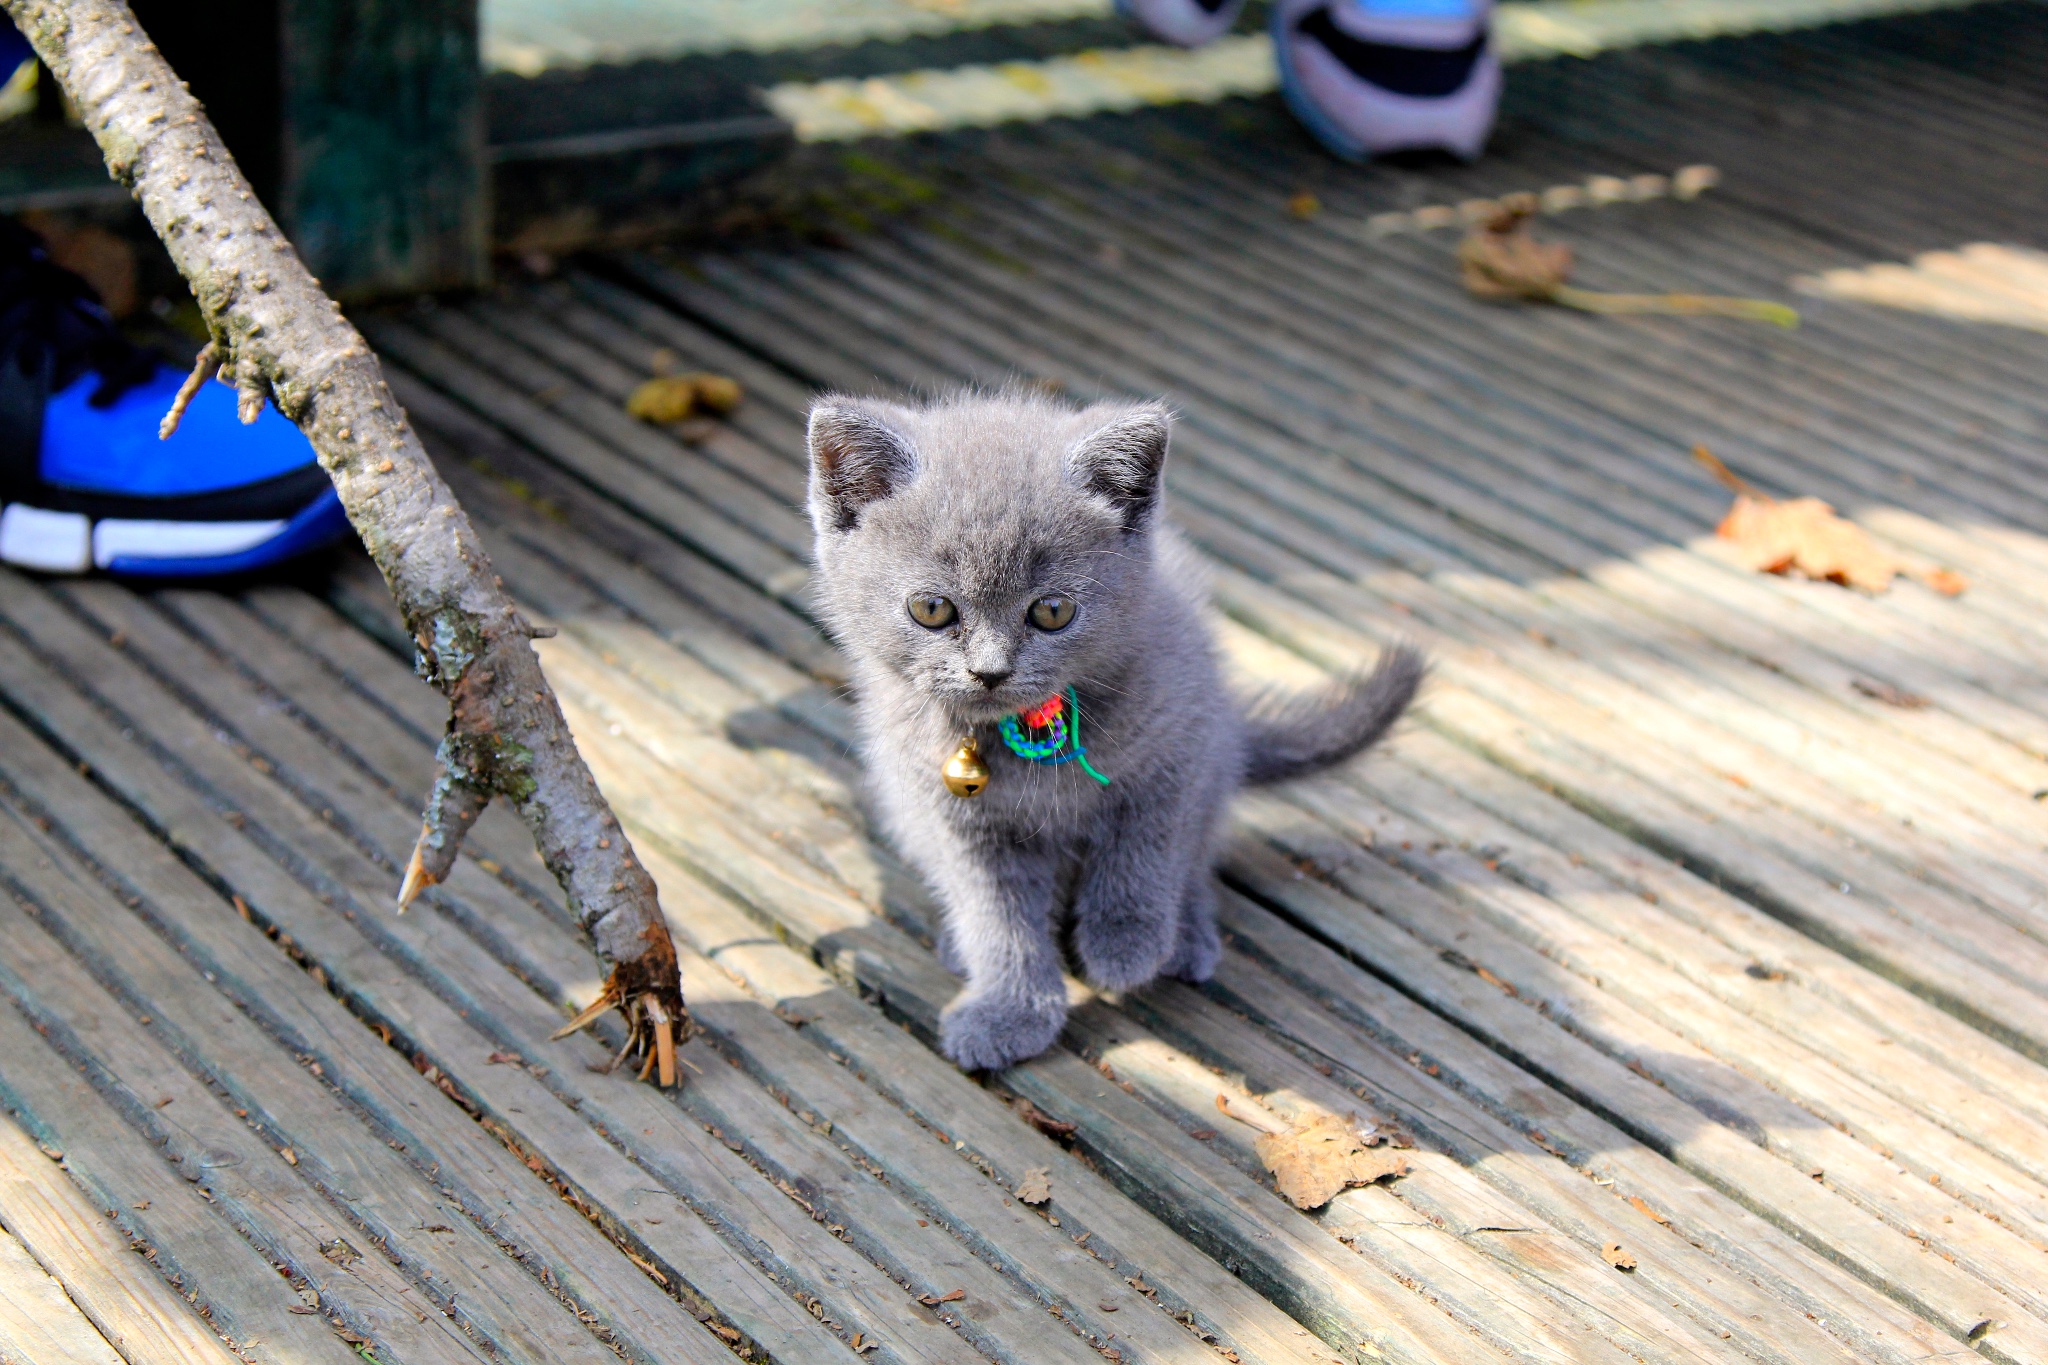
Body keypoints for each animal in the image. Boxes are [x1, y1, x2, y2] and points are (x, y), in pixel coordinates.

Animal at [802, 388, 1425, 1072]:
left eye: (1052, 611)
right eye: (931, 609)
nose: (989, 671)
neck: (1027, 736)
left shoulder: (1177, 747)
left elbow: (1143, 850)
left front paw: (1124, 943)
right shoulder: (956, 822)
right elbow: (997, 916)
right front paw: (1010, 1008)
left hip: (1216, 752)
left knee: (1197, 856)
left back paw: (1185, 936)